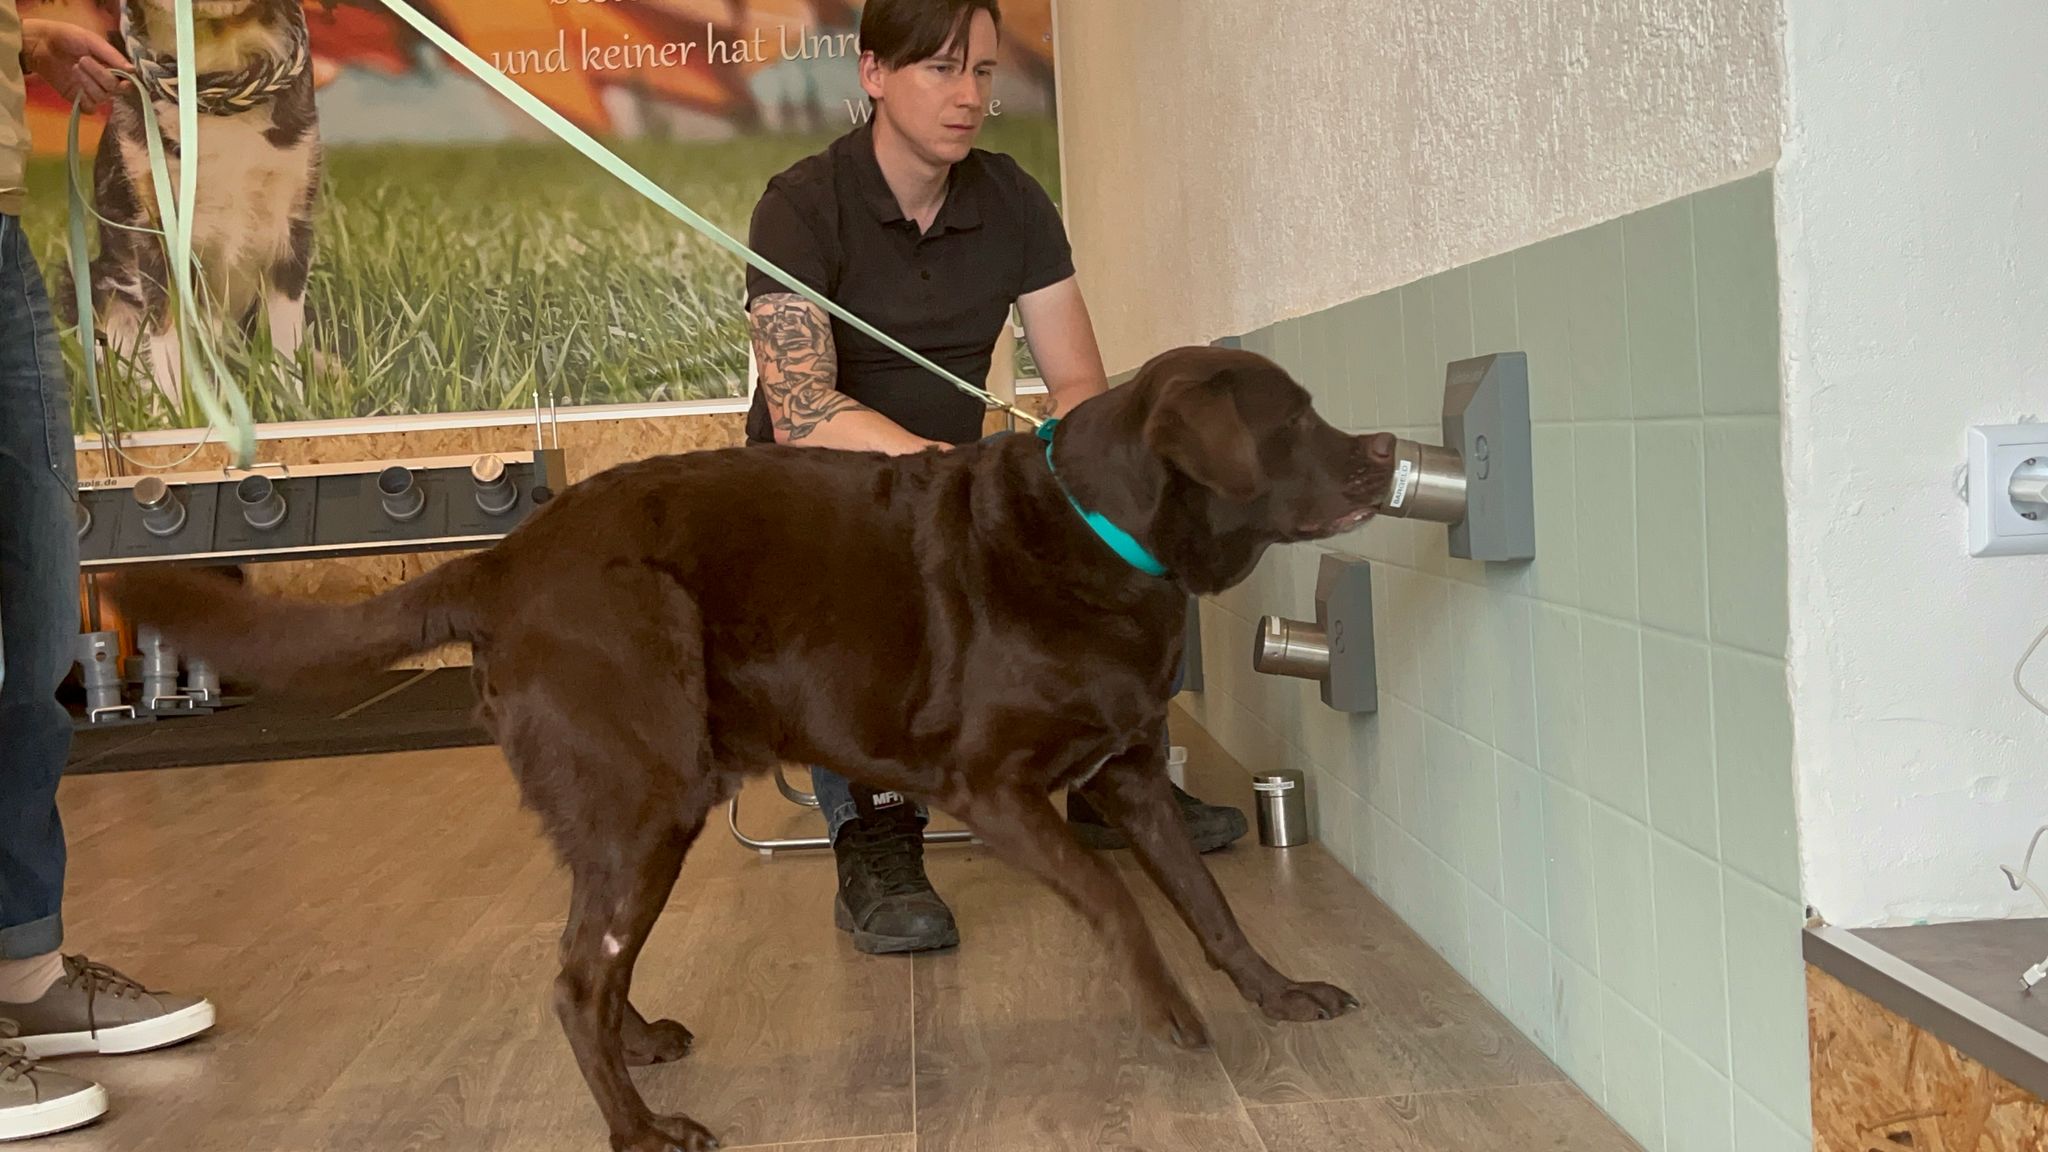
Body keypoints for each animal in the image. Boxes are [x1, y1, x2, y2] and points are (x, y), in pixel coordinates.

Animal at [84, 0, 319, 409]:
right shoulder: (154, 225)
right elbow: (167, 337)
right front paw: (175, 413)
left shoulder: (292, 220)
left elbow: (285, 336)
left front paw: (293, 406)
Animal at [105, 344, 1400, 1152]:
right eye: (1292, 418)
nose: (1388, 448)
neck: (1102, 530)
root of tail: (503, 561)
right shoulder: (996, 791)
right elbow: (1122, 905)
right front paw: (1170, 1012)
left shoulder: (1127, 779)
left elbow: (1209, 906)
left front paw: (1278, 994)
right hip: (649, 800)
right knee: (571, 981)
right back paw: (636, 1131)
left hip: (639, 819)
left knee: (597, 963)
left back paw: (641, 1046)